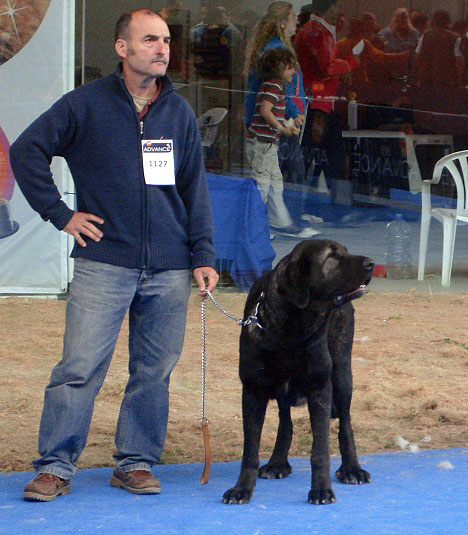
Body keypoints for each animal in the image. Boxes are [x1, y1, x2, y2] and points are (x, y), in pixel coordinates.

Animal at [222, 240, 372, 506]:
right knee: (285, 421)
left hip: (342, 376)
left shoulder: (320, 388)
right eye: (331, 257)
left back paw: (352, 469)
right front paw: (242, 489)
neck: (291, 329)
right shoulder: (252, 391)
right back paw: (277, 463)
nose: (371, 264)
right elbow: (250, 451)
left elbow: (320, 451)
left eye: (345, 251)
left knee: (345, 424)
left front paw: (321, 490)